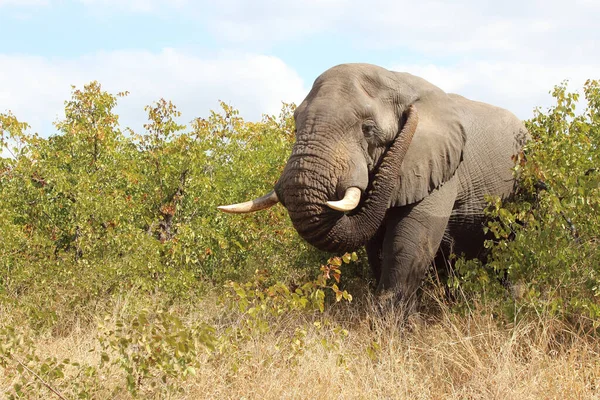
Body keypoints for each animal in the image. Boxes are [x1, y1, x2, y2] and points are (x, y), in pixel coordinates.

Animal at [218, 63, 528, 312]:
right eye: (295, 127)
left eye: (367, 129)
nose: (411, 114)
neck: (398, 81)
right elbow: (376, 246)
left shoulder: (442, 168)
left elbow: (409, 243)